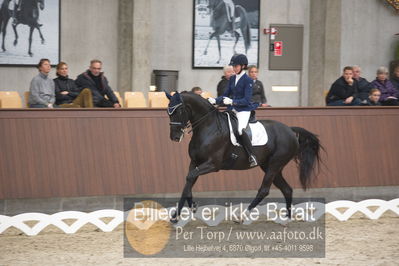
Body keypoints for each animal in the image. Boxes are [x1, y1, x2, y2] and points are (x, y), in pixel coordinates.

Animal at [167, 92, 324, 223]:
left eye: (179, 111)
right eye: (168, 112)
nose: (175, 137)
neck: (208, 128)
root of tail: (290, 130)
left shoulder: (212, 164)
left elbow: (190, 177)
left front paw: (177, 215)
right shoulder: (195, 162)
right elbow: (189, 180)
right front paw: (189, 208)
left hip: (274, 165)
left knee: (264, 190)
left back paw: (242, 216)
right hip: (271, 166)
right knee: (287, 189)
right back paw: (287, 219)